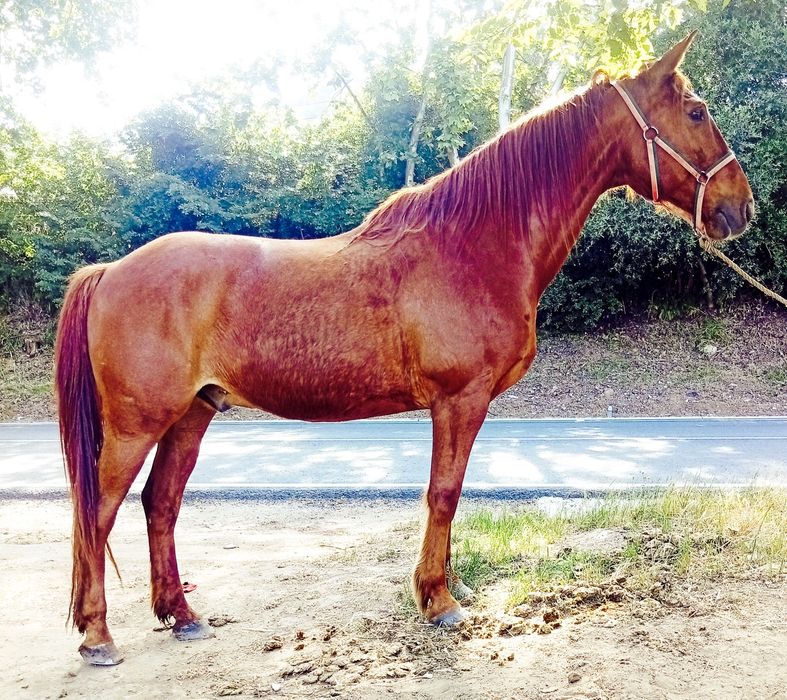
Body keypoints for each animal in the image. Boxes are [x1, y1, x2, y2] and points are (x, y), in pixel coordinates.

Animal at [55, 32, 753, 665]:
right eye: (696, 112)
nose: (740, 207)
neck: (472, 245)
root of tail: (111, 271)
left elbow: (451, 492)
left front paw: (443, 589)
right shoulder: (460, 400)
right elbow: (444, 492)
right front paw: (438, 600)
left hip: (192, 414)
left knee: (160, 504)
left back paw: (181, 615)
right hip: (137, 424)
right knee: (98, 511)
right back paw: (98, 636)